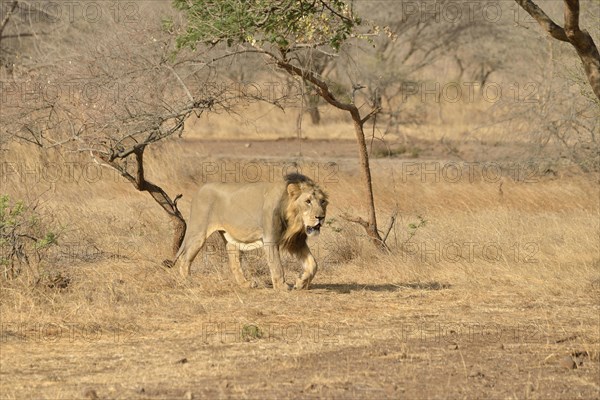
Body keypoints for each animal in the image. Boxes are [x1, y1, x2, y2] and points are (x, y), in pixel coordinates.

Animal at [175, 173, 328, 290]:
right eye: (308, 201)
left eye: (323, 202)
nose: (320, 217)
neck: (295, 220)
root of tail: (199, 190)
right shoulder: (270, 239)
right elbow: (277, 266)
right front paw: (282, 287)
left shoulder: (297, 241)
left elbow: (313, 264)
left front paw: (301, 283)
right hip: (198, 233)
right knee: (185, 258)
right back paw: (189, 282)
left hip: (230, 239)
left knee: (234, 263)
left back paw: (246, 284)